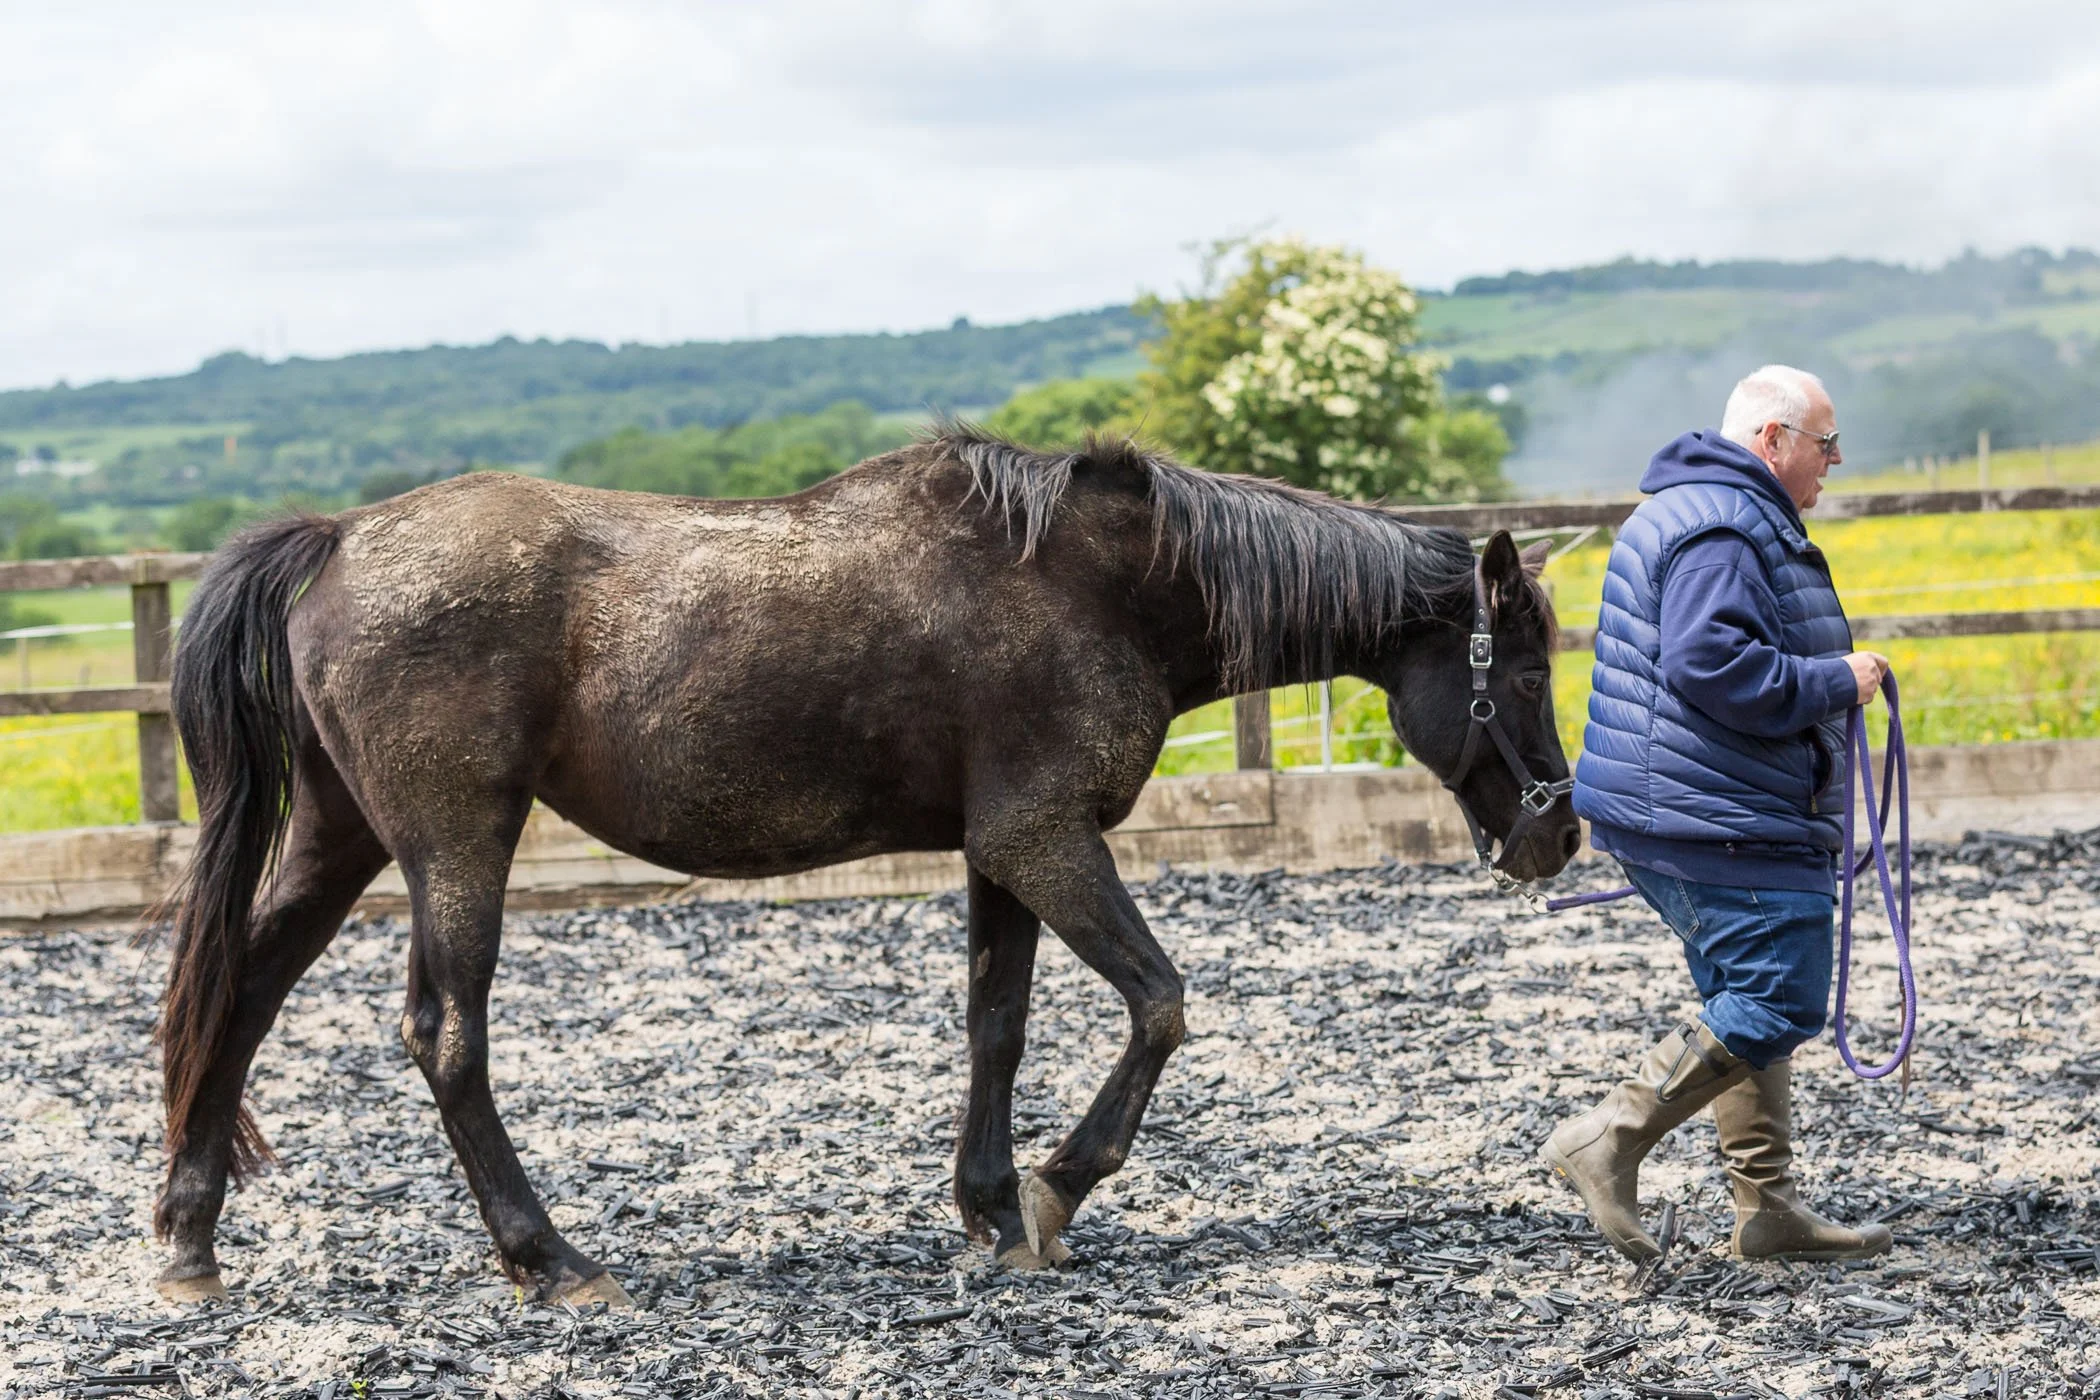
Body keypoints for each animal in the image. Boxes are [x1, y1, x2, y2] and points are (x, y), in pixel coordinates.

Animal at [150, 427, 1578, 1306]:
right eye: (1518, 670)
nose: (1559, 835)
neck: (1099, 586)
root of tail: (339, 538)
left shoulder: (1005, 852)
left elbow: (997, 1024)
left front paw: (994, 1210)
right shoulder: (1048, 838)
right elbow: (1161, 1004)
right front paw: (1059, 1185)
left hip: (342, 836)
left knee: (243, 993)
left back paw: (190, 1238)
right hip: (457, 844)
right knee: (445, 1035)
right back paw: (549, 1257)